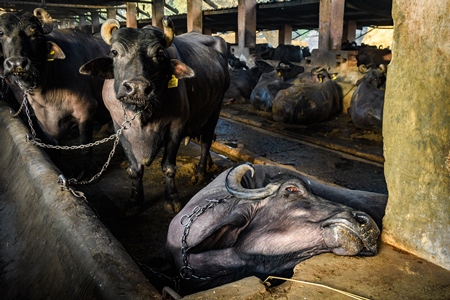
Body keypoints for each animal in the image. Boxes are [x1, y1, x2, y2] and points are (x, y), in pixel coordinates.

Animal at [0, 9, 110, 175]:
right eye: (1, 33)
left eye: (35, 34)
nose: (16, 63)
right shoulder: (41, 120)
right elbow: (55, 148)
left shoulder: (86, 109)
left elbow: (85, 145)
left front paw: (89, 169)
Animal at [79, 17, 230, 213]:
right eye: (114, 52)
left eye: (159, 53)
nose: (137, 88)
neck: (143, 113)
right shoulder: (120, 127)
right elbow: (135, 169)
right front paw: (135, 201)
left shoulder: (176, 126)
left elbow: (168, 166)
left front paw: (171, 199)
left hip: (215, 109)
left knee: (206, 140)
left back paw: (200, 173)